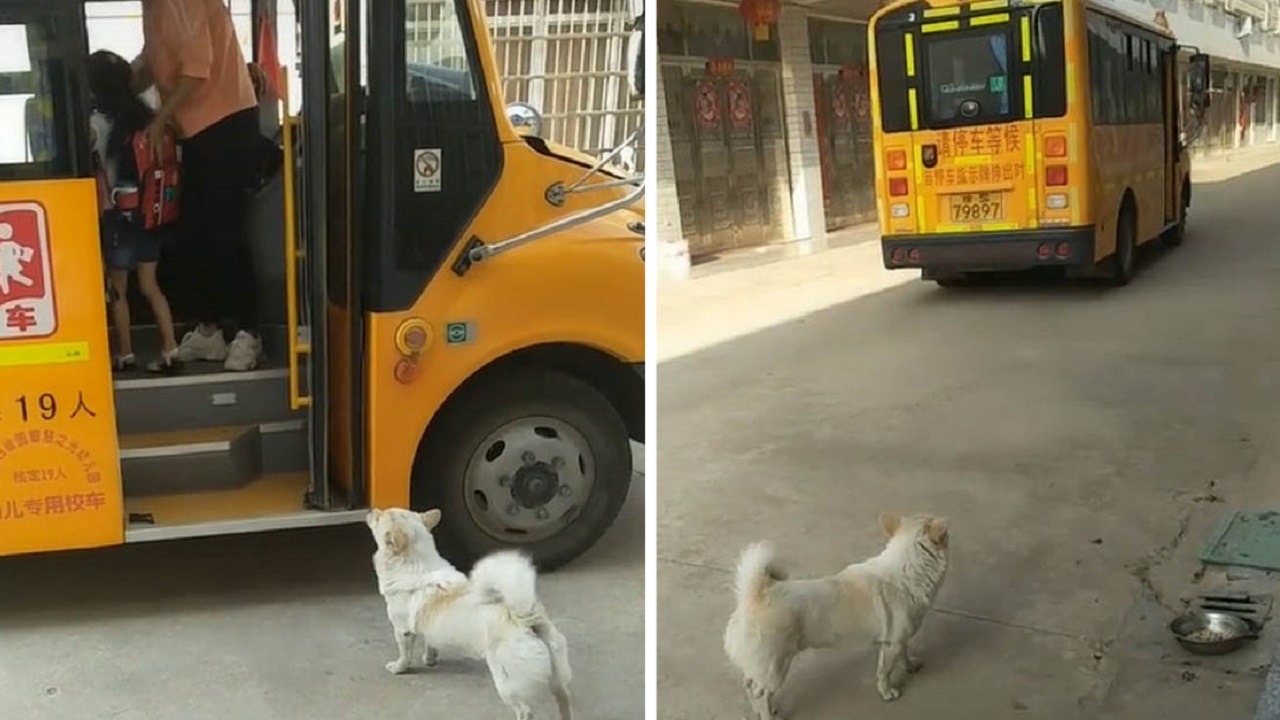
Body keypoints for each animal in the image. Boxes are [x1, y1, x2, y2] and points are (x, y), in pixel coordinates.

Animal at [368, 504, 573, 717]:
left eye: (379, 517)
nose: (372, 509)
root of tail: (525, 618)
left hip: (506, 683)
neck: (416, 562)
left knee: (525, 710)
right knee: (564, 698)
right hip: (558, 674)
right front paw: (430, 659)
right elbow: (430, 643)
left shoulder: (402, 631)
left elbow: (405, 654)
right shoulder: (428, 628)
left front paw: (399, 667)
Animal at [727, 509, 947, 717]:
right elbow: (884, 672)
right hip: (775, 668)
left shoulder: (899, 640)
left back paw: (759, 710)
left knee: (749, 683)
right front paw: (887, 692)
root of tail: (757, 595)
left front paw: (910, 666)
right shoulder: (891, 644)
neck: (907, 569)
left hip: (761, 665)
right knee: (761, 693)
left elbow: (904, 654)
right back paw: (766, 714)